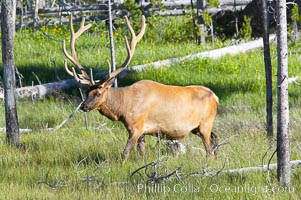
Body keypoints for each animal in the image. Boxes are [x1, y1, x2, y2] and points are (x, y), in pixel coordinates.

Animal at [62, 14, 218, 163]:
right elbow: (141, 151)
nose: (84, 106)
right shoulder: (141, 131)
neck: (123, 108)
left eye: (99, 93)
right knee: (215, 138)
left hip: (205, 123)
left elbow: (125, 152)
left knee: (209, 147)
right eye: (87, 92)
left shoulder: (136, 126)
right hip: (198, 128)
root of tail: (215, 97)